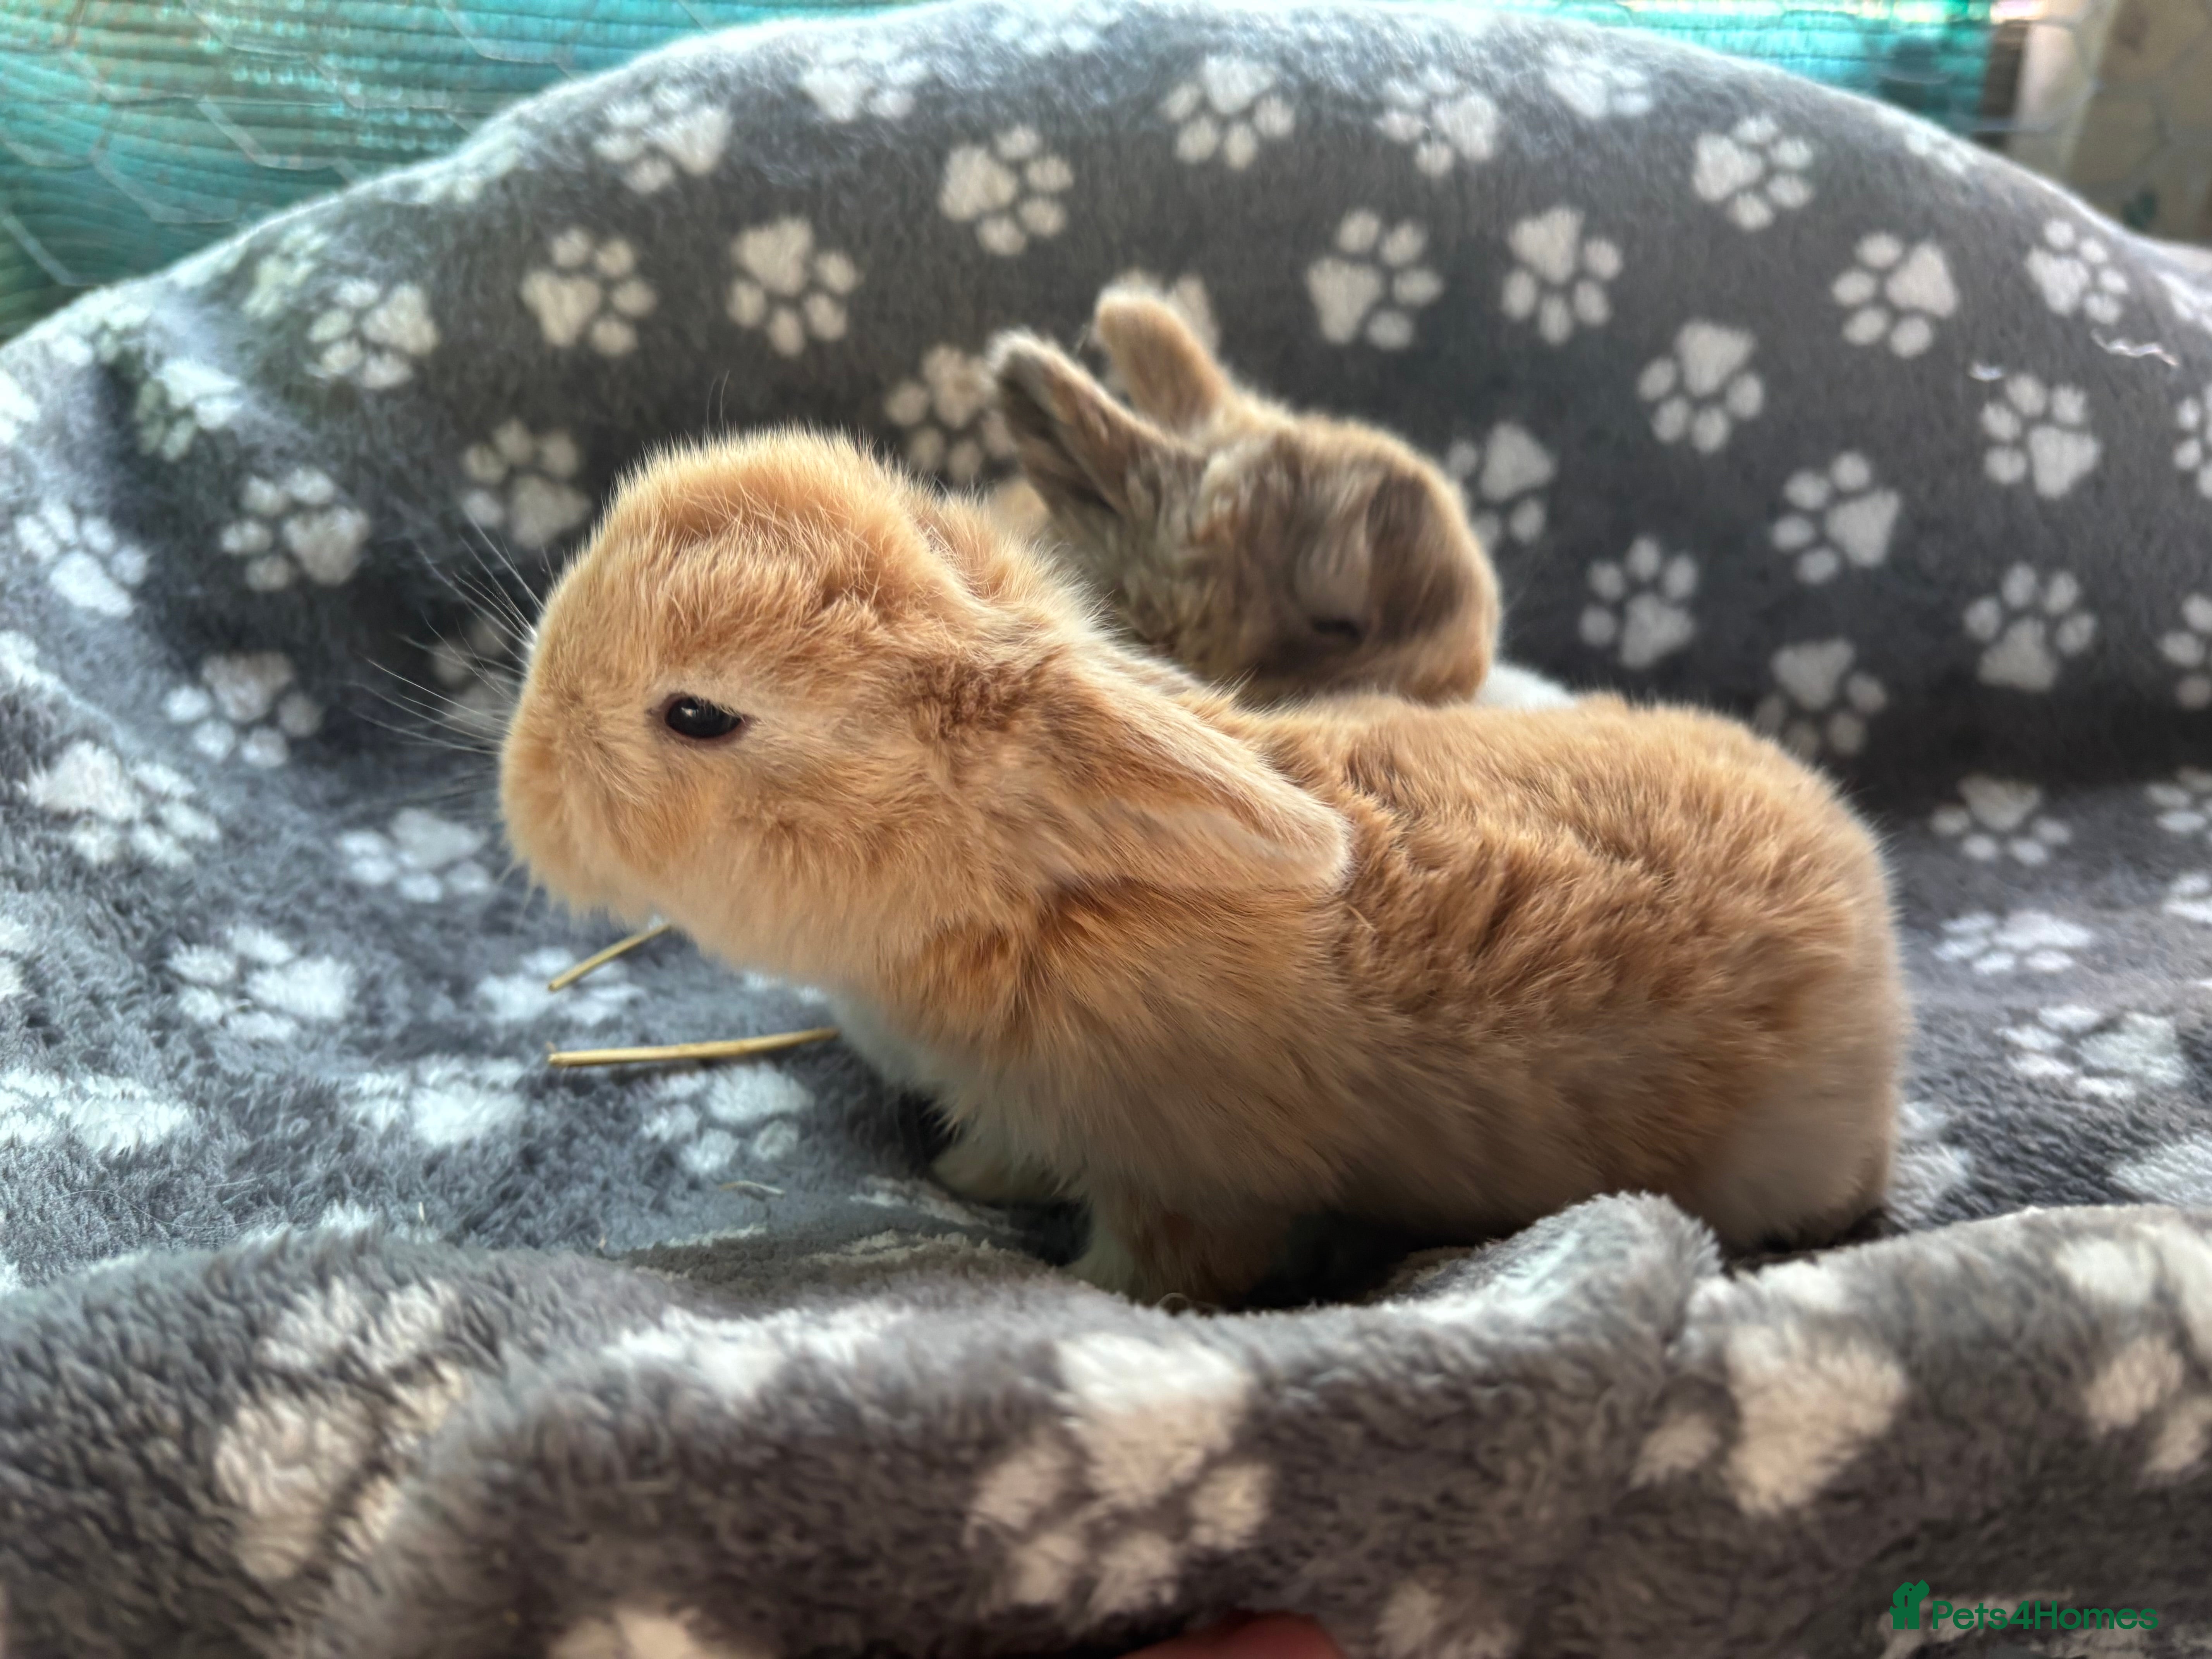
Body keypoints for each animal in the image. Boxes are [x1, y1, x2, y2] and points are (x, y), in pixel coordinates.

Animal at [500, 429, 1906, 1306]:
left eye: (698, 715)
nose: (522, 784)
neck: (1034, 890)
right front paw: (969, 1178)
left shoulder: (1188, 1189)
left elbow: (1162, 1268)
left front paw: (1084, 1294)